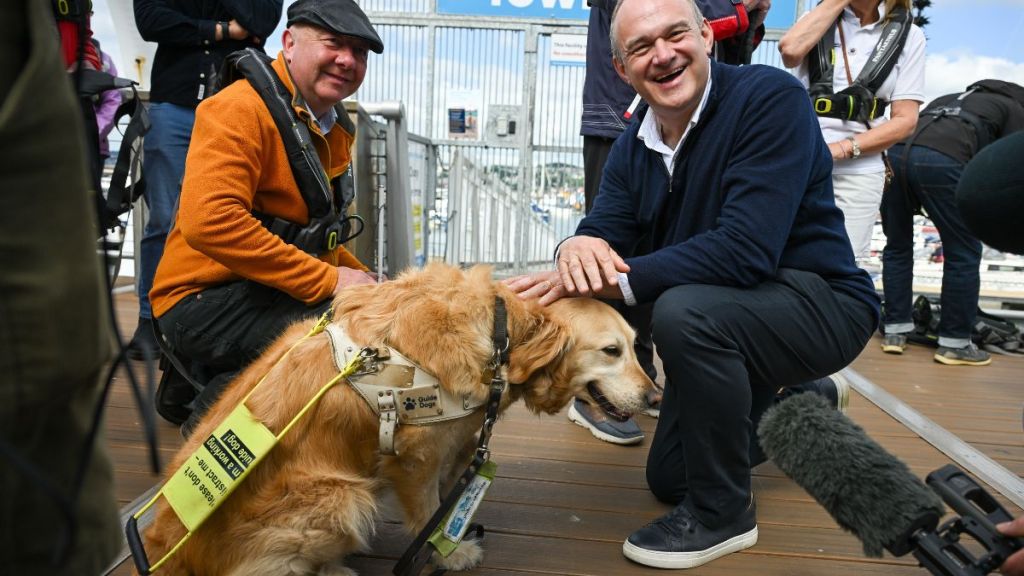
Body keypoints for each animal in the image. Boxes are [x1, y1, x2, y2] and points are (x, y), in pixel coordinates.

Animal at [136, 262, 651, 569]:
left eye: (634, 345)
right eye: (612, 350)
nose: (653, 396)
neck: (499, 336)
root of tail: (167, 551)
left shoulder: (458, 440)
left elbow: (452, 488)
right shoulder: (414, 459)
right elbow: (426, 513)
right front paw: (449, 553)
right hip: (344, 498)